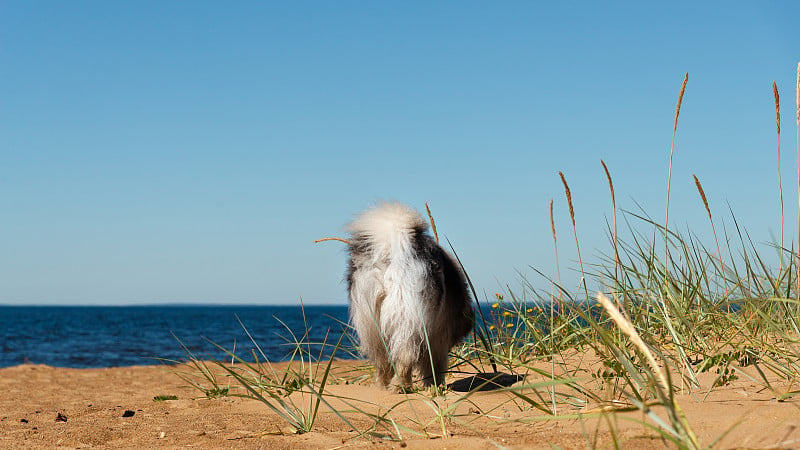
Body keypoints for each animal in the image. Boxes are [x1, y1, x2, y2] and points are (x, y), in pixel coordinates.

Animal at [346, 200, 476, 390]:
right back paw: (401, 387)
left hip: (371, 323)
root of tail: (393, 249)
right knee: (405, 357)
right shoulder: (438, 337)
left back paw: (383, 387)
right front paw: (434, 385)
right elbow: (434, 365)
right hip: (407, 319)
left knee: (383, 362)